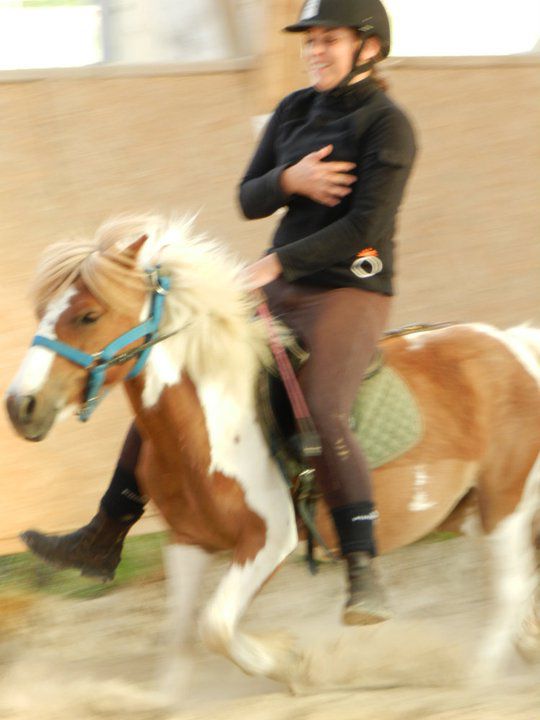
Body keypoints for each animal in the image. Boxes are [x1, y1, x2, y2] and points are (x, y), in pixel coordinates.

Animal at [5, 215, 540, 691]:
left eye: (88, 315)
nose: (20, 406)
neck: (214, 420)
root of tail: (513, 344)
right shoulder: (187, 542)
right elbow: (179, 637)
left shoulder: (269, 539)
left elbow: (216, 626)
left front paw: (291, 663)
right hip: (467, 511)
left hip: (503, 504)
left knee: (509, 589)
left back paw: (474, 676)